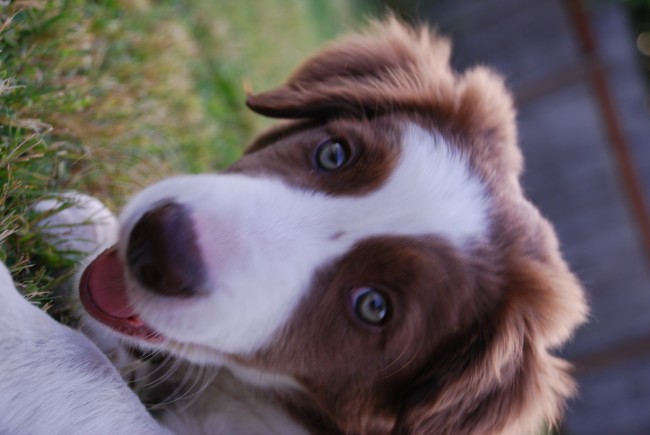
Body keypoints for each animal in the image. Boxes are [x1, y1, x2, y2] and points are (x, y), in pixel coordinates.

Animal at [0, 18, 587, 434]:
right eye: (333, 152)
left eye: (373, 307)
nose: (158, 244)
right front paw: (77, 221)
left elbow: (92, 376)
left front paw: (12, 320)